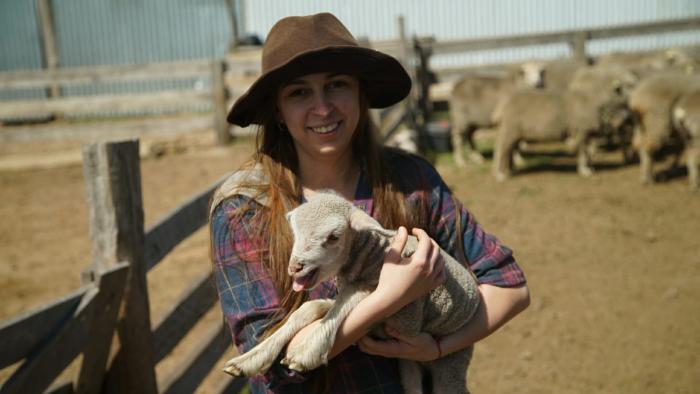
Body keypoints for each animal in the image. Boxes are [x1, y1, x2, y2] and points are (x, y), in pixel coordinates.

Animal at [224, 190, 482, 390]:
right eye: (294, 232)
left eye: (333, 237)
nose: (295, 267)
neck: (371, 255)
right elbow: (309, 309)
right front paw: (249, 360)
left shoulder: (398, 316)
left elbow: (346, 304)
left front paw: (306, 352)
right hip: (409, 364)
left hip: (451, 362)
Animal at [490, 65, 636, 182]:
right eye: (625, 92)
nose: (628, 118)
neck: (595, 101)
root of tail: (503, 105)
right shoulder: (580, 130)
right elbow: (582, 152)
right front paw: (584, 170)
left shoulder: (589, 132)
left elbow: (589, 152)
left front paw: (590, 167)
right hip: (510, 128)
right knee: (501, 149)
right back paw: (499, 175)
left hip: (511, 130)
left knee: (507, 149)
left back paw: (509, 170)